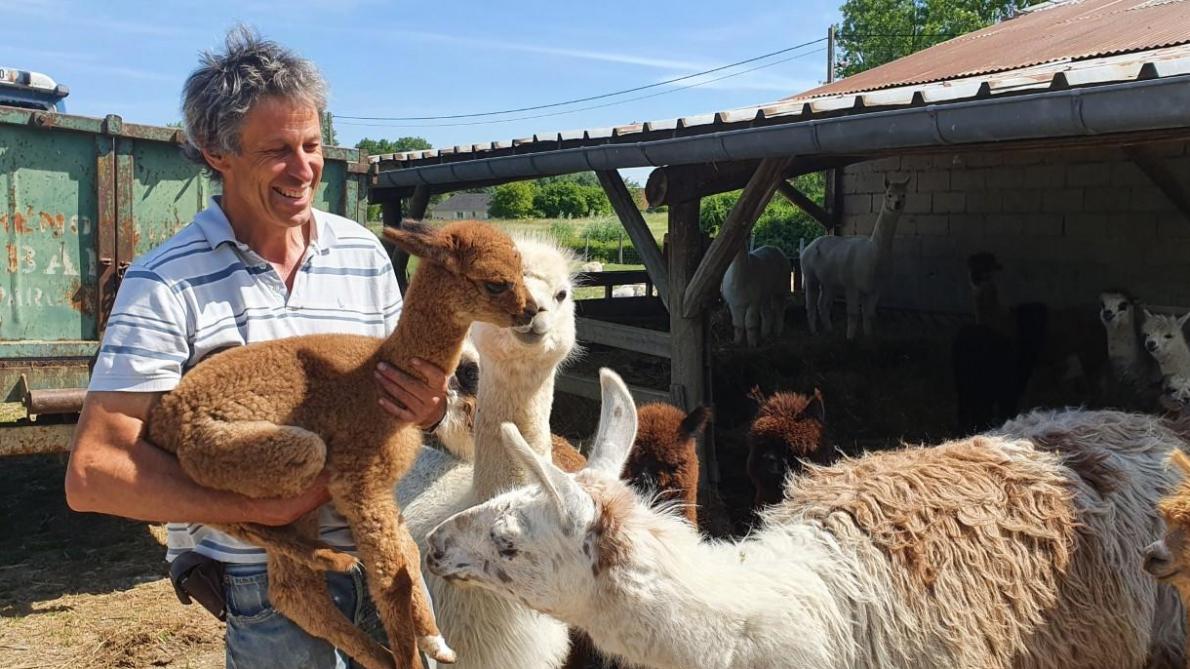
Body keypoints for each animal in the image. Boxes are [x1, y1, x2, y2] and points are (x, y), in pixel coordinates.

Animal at [146, 220, 538, 669]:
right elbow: (393, 582)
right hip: (260, 452)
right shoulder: (359, 478)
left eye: (522, 271)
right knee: (209, 508)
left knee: (291, 590)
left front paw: (434, 640)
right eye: (496, 283)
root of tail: (164, 417)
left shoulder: (380, 489)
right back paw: (333, 561)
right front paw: (410, 658)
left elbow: (409, 558)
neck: (378, 376)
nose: (530, 311)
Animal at [801, 175, 910, 340]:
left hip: (829, 281)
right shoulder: (851, 285)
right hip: (810, 275)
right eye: (889, 194)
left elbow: (869, 314)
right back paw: (814, 332)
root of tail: (809, 246)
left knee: (823, 304)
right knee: (811, 304)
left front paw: (868, 336)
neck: (873, 254)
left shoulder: (874, 288)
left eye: (903, 195)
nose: (897, 203)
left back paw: (829, 330)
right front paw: (850, 338)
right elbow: (853, 314)